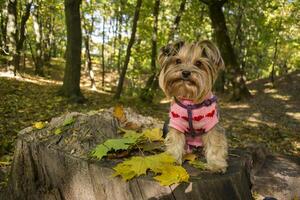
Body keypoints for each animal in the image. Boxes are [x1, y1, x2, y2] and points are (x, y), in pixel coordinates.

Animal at [159, 40, 227, 172]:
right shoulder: (176, 123)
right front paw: (172, 161)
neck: (189, 101)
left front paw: (216, 164)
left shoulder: (212, 124)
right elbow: (175, 140)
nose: (185, 72)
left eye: (198, 63)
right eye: (178, 61)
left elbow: (215, 142)